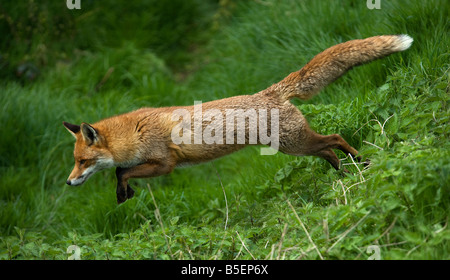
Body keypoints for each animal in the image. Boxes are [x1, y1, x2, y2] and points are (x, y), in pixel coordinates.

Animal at [62, 35, 412, 203]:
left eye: (81, 161)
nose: (68, 182)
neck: (134, 133)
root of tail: (270, 91)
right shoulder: (156, 164)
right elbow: (121, 171)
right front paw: (124, 194)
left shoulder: (165, 164)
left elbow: (121, 171)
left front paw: (123, 193)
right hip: (296, 147)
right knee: (328, 150)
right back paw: (346, 173)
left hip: (295, 144)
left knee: (335, 139)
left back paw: (363, 163)